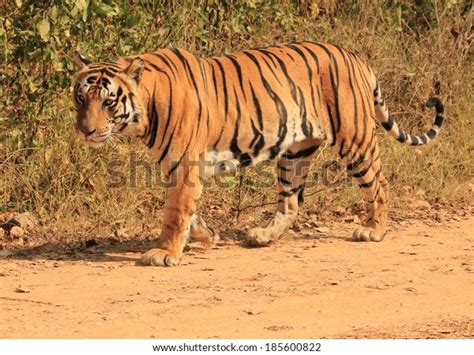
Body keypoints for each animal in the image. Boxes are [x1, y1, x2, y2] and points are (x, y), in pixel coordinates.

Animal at [72, 41, 442, 268]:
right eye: (81, 98)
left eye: (108, 102)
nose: (85, 131)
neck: (144, 111)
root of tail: (354, 55)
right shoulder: (178, 166)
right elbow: (189, 210)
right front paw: (207, 236)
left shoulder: (185, 164)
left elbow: (176, 212)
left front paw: (165, 253)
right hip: (295, 153)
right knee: (291, 203)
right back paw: (262, 236)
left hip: (355, 138)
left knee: (379, 185)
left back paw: (374, 231)